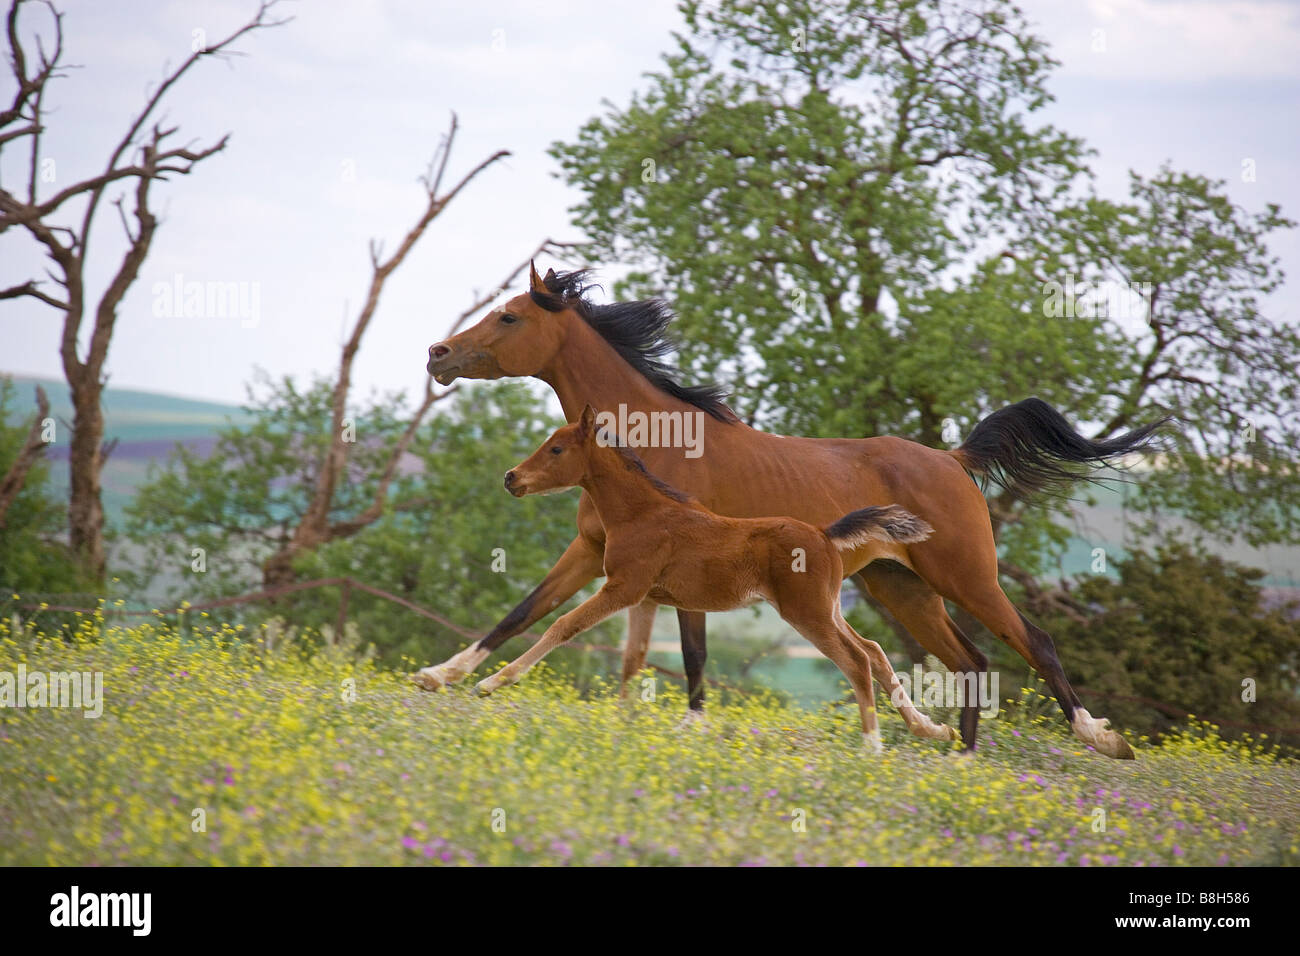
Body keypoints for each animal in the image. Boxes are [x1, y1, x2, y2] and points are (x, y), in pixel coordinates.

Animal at [478, 403, 958, 752]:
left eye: (557, 449)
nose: (510, 478)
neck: (643, 513)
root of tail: (824, 534)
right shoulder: (644, 597)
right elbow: (632, 657)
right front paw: (622, 727)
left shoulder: (624, 587)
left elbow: (563, 626)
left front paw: (491, 683)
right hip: (829, 608)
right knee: (873, 650)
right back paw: (933, 730)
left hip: (806, 613)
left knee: (857, 660)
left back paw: (872, 748)